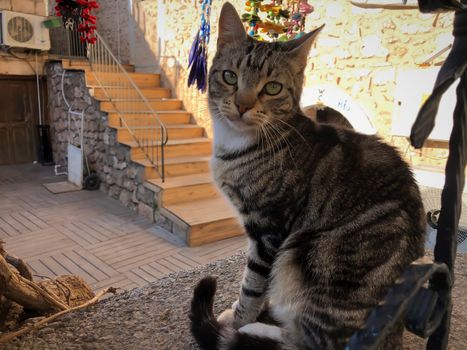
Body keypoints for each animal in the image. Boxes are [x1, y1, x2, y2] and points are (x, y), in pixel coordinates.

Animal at [190, 3, 428, 350]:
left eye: (272, 87)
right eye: (229, 76)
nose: (242, 105)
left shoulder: (269, 229)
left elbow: (253, 283)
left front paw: (239, 321)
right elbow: (258, 284)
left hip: (310, 257)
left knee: (310, 342)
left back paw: (258, 331)